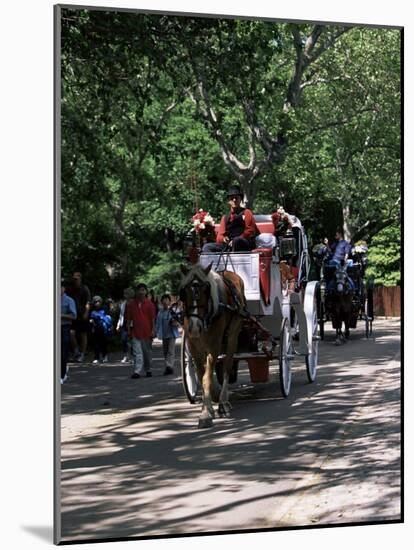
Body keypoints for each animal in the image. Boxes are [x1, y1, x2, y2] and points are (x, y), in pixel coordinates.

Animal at [179, 264, 246, 432]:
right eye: (184, 292)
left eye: (205, 290)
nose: (195, 327)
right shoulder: (194, 347)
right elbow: (201, 374)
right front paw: (207, 407)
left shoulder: (214, 346)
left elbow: (206, 377)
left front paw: (205, 414)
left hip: (233, 335)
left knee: (227, 365)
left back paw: (223, 402)